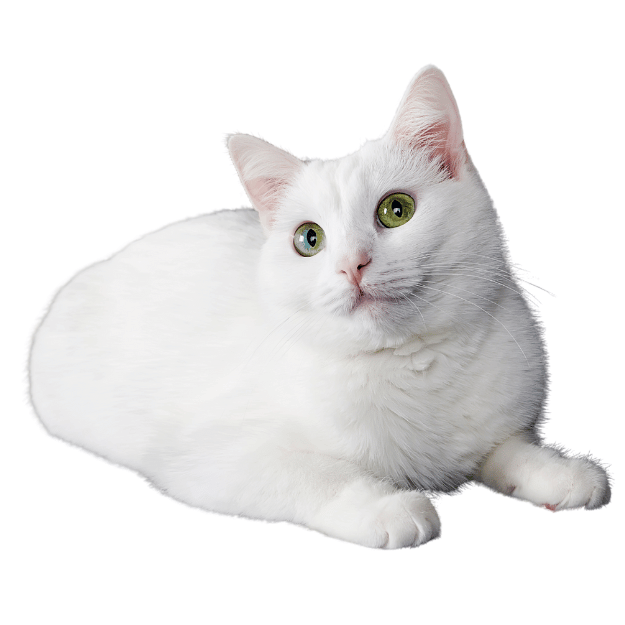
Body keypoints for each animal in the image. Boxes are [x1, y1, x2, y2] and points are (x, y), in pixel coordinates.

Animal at [29, 66, 608, 548]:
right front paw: (387, 508)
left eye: (397, 210)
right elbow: (317, 474)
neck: (409, 364)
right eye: (309, 239)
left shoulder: (498, 428)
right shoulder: (213, 456)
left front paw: (563, 471)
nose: (353, 265)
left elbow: (508, 450)